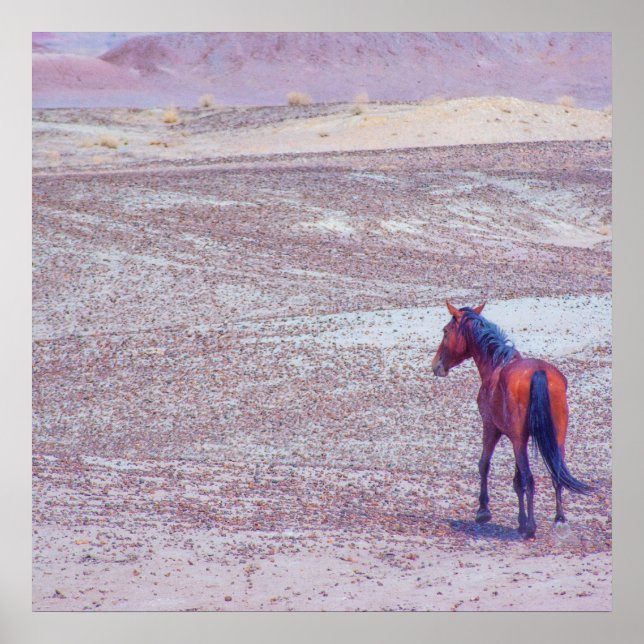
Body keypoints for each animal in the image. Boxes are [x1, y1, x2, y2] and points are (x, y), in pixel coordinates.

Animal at [431, 301, 591, 539]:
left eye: (445, 331)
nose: (436, 366)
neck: (495, 364)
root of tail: (539, 372)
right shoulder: (518, 439)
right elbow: (517, 481)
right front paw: (521, 521)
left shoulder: (491, 428)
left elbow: (485, 465)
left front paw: (484, 511)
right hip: (555, 439)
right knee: (556, 475)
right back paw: (559, 520)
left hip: (518, 440)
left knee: (530, 478)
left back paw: (532, 528)